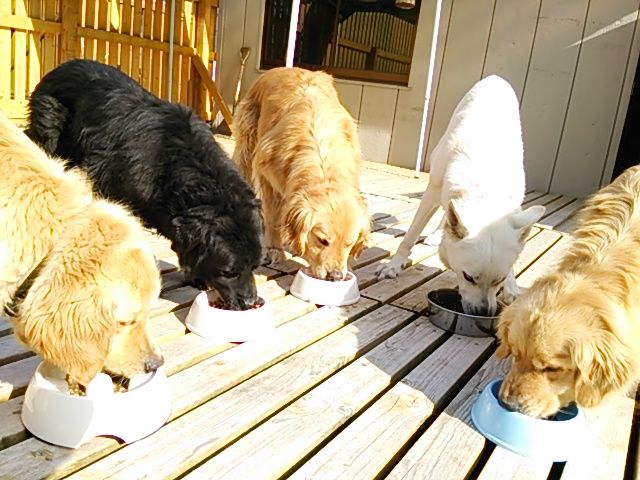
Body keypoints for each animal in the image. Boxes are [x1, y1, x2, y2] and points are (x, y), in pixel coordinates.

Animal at [232, 67, 370, 280]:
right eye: (322, 240)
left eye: (349, 244)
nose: (335, 276)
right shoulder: (267, 174)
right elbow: (273, 216)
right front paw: (275, 250)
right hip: (247, 141)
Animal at [376, 76, 545, 315]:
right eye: (468, 277)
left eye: (499, 280)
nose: (483, 314)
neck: (485, 187)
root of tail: (496, 78)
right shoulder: (432, 192)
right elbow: (410, 235)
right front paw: (393, 266)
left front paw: (512, 287)